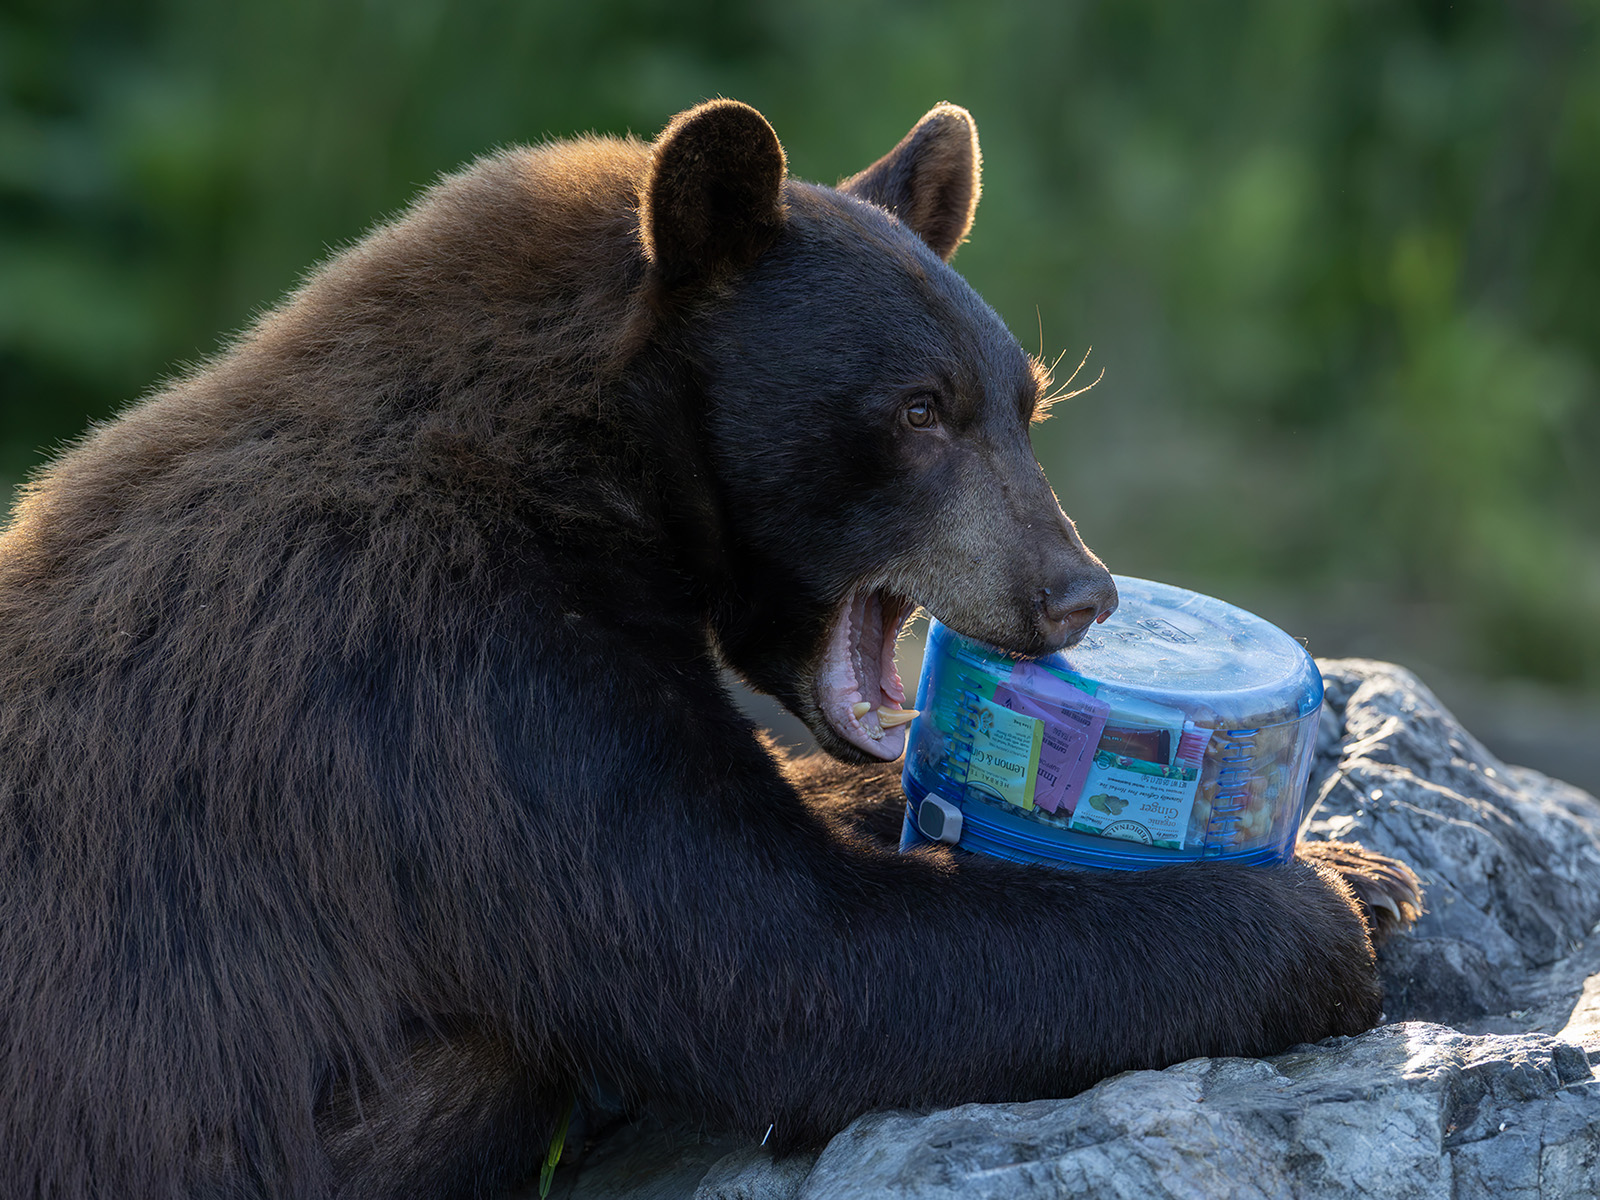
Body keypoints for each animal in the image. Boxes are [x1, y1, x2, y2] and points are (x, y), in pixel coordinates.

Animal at [0, 99, 1420, 1199]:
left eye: (1027, 404)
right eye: (920, 410)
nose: (1077, 594)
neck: (570, 462)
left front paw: (1366, 868)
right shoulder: (462, 686)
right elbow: (784, 963)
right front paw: (1309, 911)